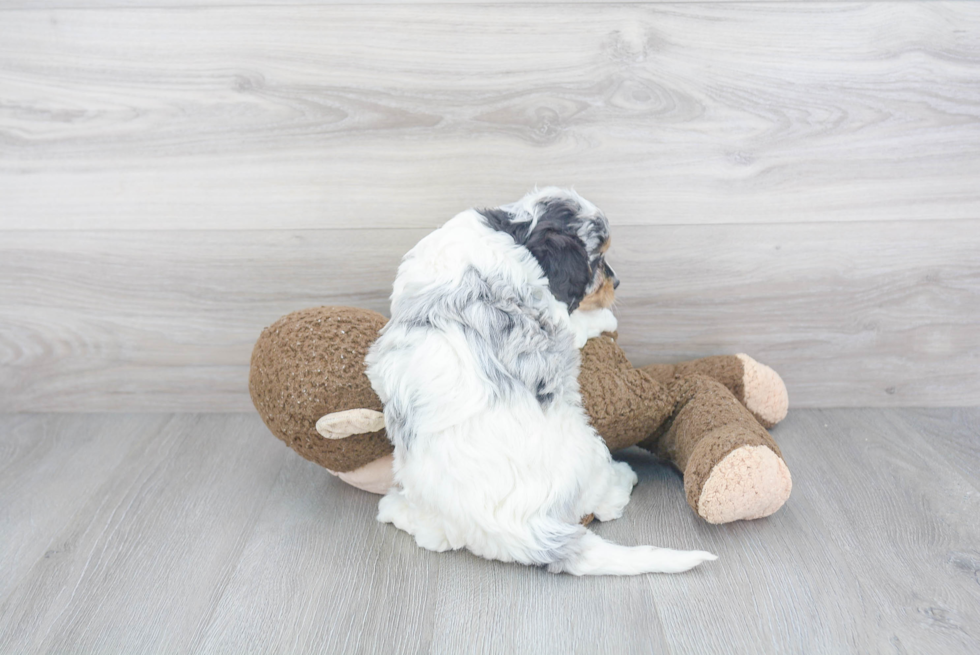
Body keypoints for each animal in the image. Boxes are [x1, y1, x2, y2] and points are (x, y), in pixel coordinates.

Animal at [364, 188, 716, 576]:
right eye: (597, 259)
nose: (618, 282)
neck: (512, 229)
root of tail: (521, 531)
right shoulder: (556, 314)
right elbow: (580, 320)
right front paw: (604, 317)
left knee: (434, 537)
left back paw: (395, 510)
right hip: (589, 450)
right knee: (603, 502)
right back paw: (624, 478)